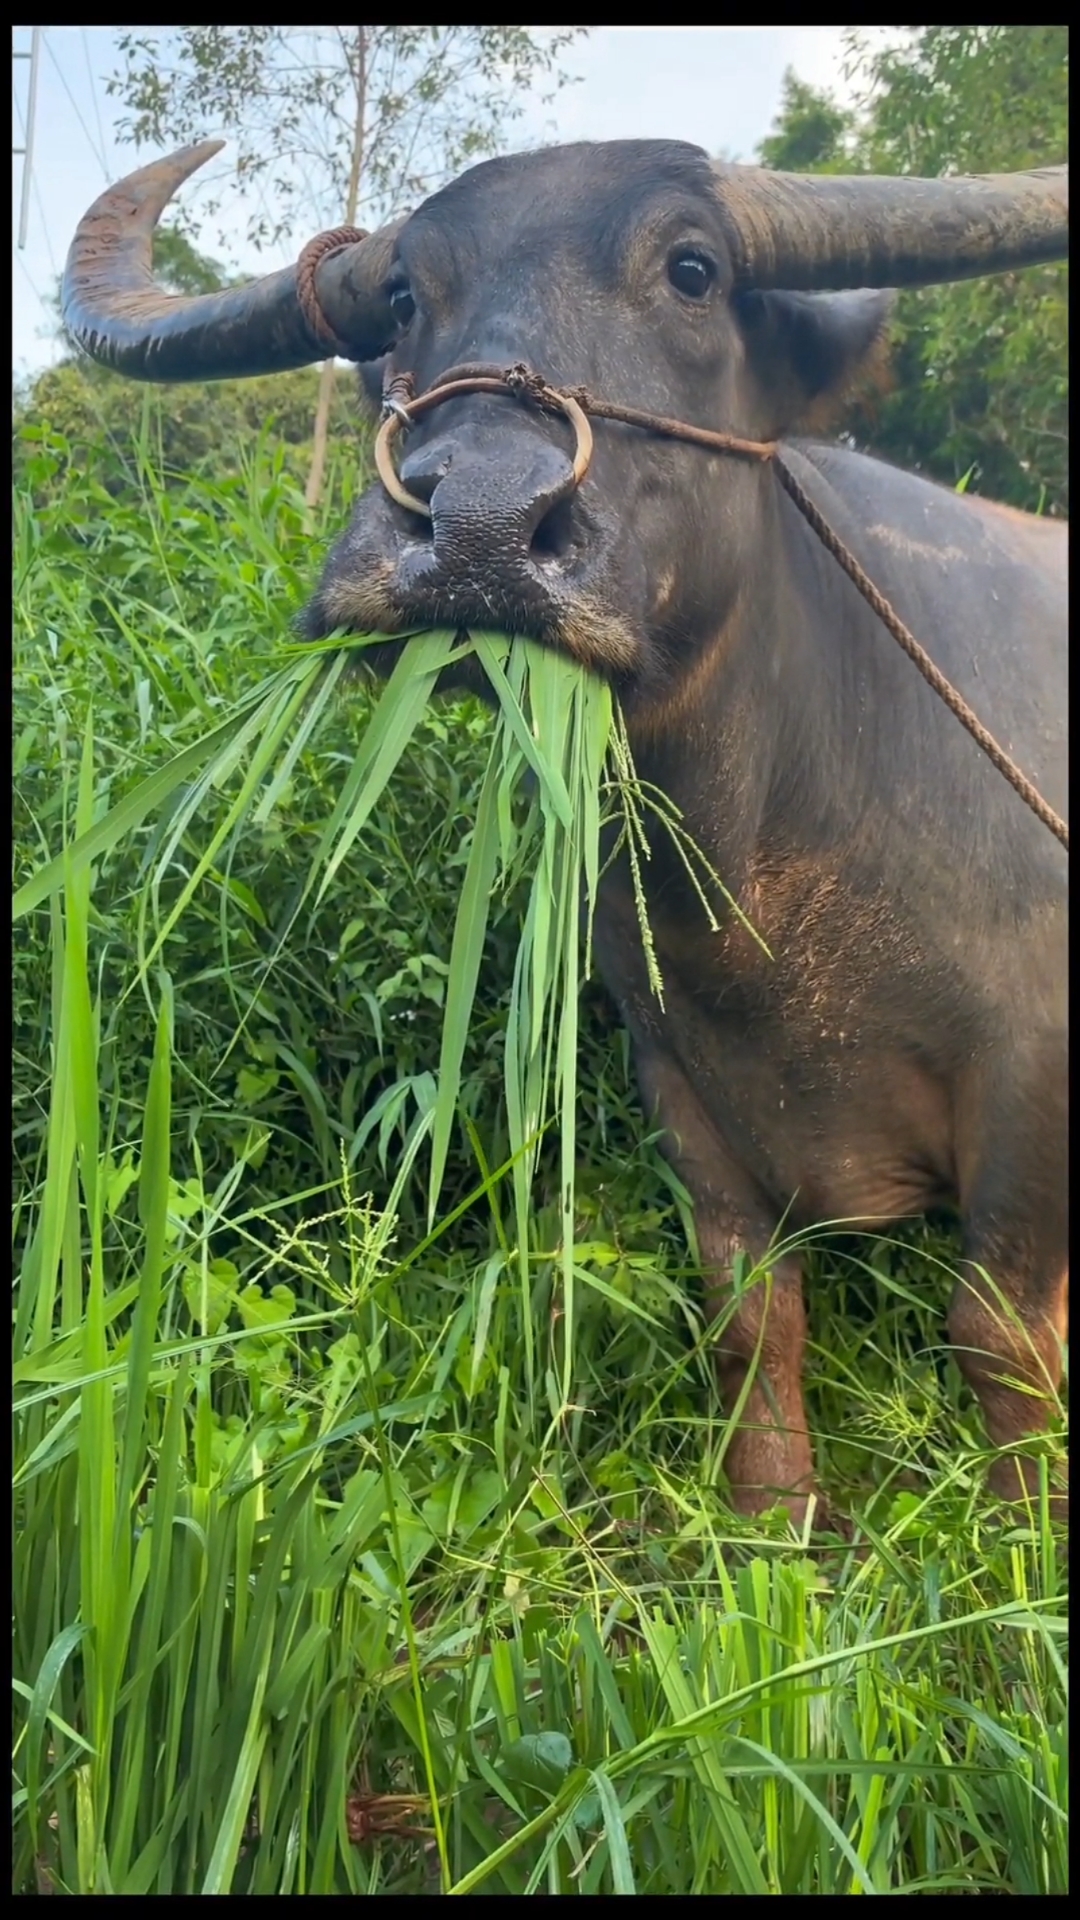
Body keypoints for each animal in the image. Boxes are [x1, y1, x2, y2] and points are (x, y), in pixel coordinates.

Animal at [62, 135, 1060, 1520]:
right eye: (404, 299)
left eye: (694, 271)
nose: (476, 525)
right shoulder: (674, 1069)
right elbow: (750, 1313)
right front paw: (774, 1520)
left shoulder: (1033, 1079)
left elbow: (999, 1337)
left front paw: (1023, 1544)